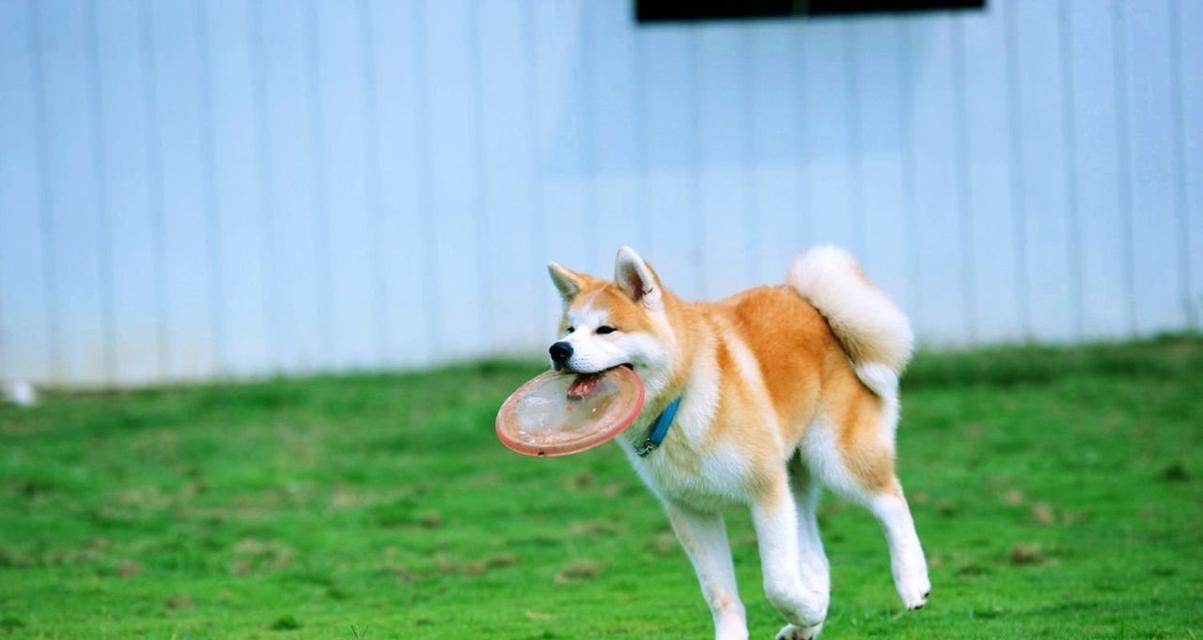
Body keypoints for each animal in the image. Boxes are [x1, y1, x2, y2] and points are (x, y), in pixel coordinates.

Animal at [546, 246, 928, 639]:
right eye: (570, 329)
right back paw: (804, 626)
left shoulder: (766, 493)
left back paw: (911, 581)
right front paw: (804, 613)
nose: (558, 350)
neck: (681, 400)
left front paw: (808, 609)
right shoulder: (692, 512)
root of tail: (811, 305)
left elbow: (778, 583)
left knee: (890, 501)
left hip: (835, 459)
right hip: (795, 480)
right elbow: (721, 595)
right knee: (817, 558)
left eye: (606, 329)